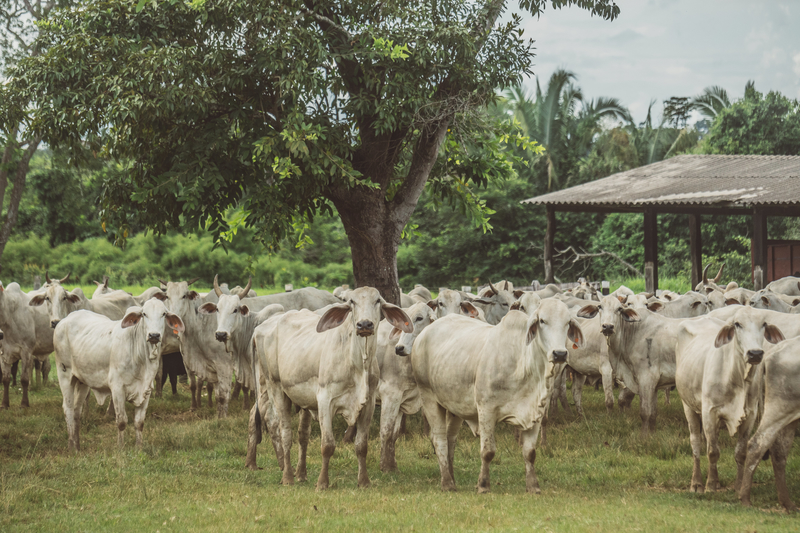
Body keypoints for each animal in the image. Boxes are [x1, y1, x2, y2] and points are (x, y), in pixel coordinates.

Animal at [53, 300, 184, 448]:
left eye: (164, 314)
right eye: (144, 314)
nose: (154, 335)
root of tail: (65, 320)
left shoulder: (146, 390)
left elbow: (139, 422)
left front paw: (139, 447)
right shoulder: (117, 389)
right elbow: (121, 421)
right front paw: (120, 448)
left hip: (82, 381)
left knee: (76, 411)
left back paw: (77, 446)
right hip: (65, 375)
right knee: (68, 409)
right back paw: (71, 446)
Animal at [253, 286, 410, 490]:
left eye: (377, 301)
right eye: (352, 302)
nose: (364, 324)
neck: (357, 364)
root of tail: (262, 326)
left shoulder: (367, 404)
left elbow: (361, 446)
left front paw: (364, 481)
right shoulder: (325, 401)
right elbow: (327, 445)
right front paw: (322, 483)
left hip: (303, 400)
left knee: (302, 435)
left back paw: (301, 474)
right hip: (275, 387)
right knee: (285, 433)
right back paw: (288, 477)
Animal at [676, 308, 780, 494]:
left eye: (764, 324)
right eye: (738, 324)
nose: (755, 353)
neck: (736, 376)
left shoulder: (750, 415)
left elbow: (740, 452)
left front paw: (738, 485)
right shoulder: (709, 413)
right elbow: (712, 452)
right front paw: (710, 485)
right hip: (688, 405)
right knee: (695, 443)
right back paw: (697, 483)